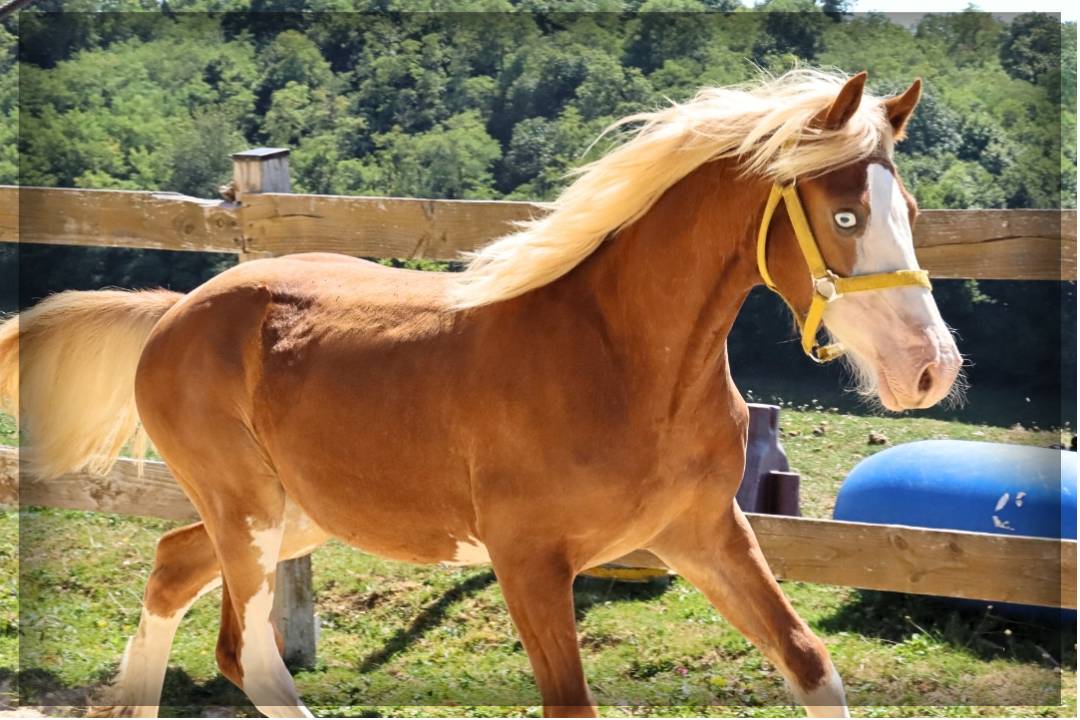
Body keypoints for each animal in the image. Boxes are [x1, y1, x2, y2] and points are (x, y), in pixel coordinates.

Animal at [0, 69, 962, 718]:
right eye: (843, 216)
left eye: (912, 210)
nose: (931, 369)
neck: (625, 363)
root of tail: (173, 311)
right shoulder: (530, 560)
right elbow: (570, 701)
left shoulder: (705, 534)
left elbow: (812, 665)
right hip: (250, 513)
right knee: (251, 654)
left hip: (300, 513)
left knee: (175, 574)